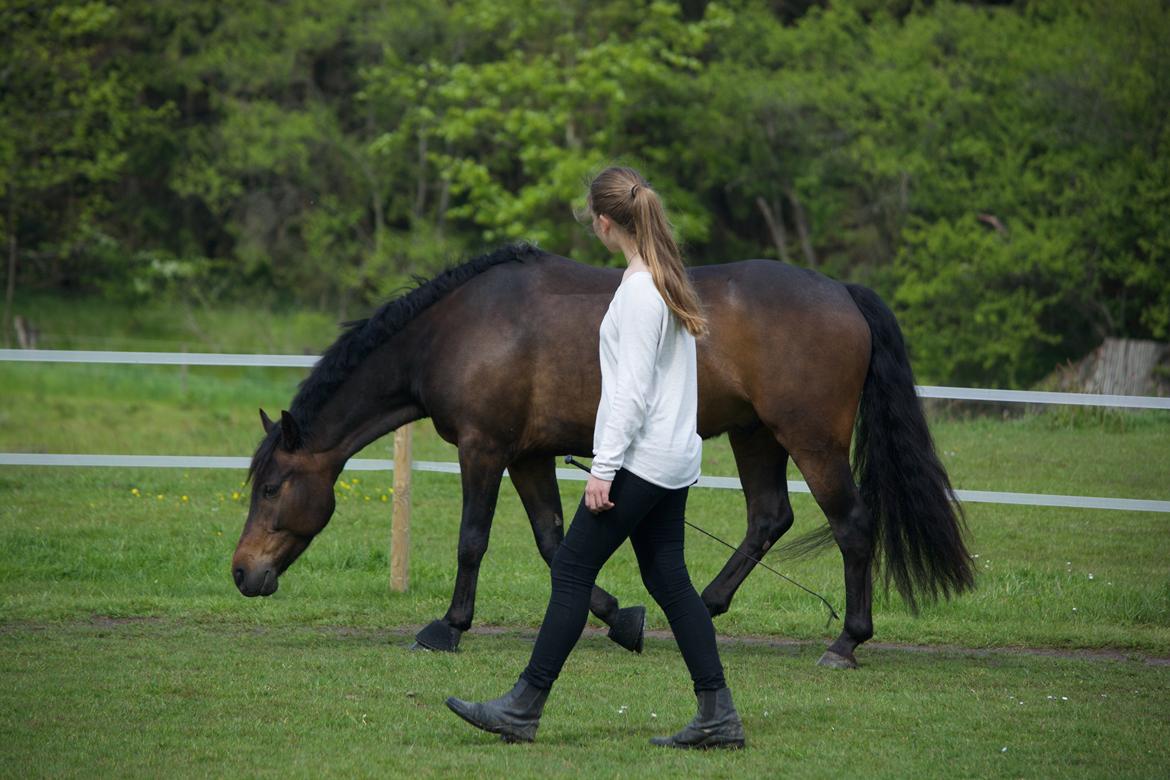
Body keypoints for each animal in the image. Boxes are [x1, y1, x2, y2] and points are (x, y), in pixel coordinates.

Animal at [232, 245, 973, 673]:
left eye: (270, 488)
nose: (241, 573)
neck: (459, 327)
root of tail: (844, 291)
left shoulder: (484, 448)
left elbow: (473, 541)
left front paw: (448, 627)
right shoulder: (529, 455)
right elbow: (553, 543)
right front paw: (622, 620)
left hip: (809, 439)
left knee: (851, 526)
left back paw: (846, 642)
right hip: (756, 435)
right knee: (768, 519)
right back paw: (703, 609)